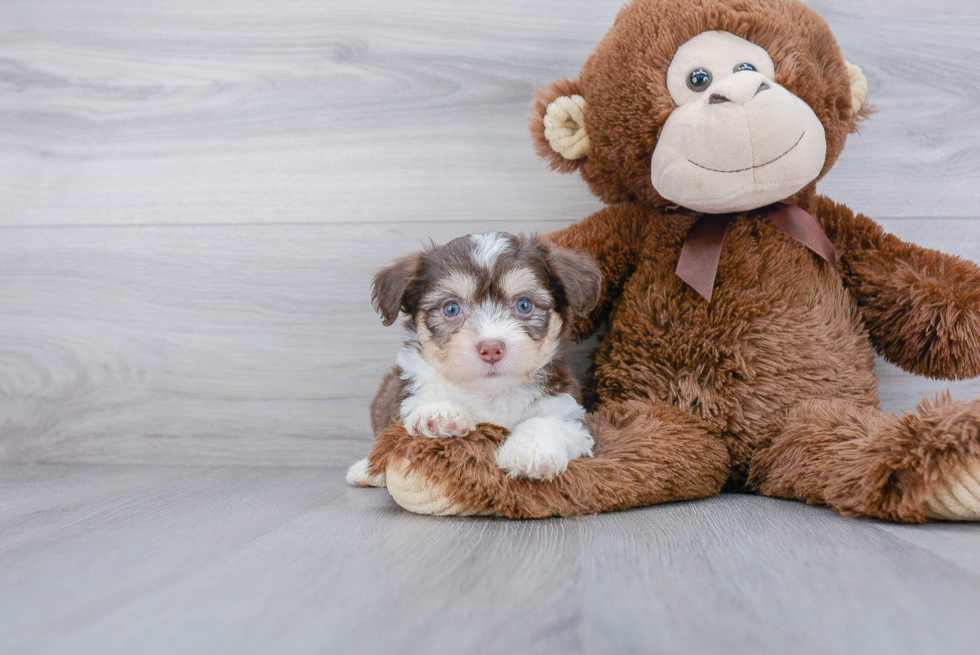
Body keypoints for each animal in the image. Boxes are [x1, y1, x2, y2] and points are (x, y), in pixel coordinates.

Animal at [344, 231, 604, 486]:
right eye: (451, 308)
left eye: (524, 304)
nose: (491, 348)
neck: (489, 393)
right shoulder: (401, 395)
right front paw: (437, 412)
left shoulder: (572, 410)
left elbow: (550, 420)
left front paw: (530, 449)